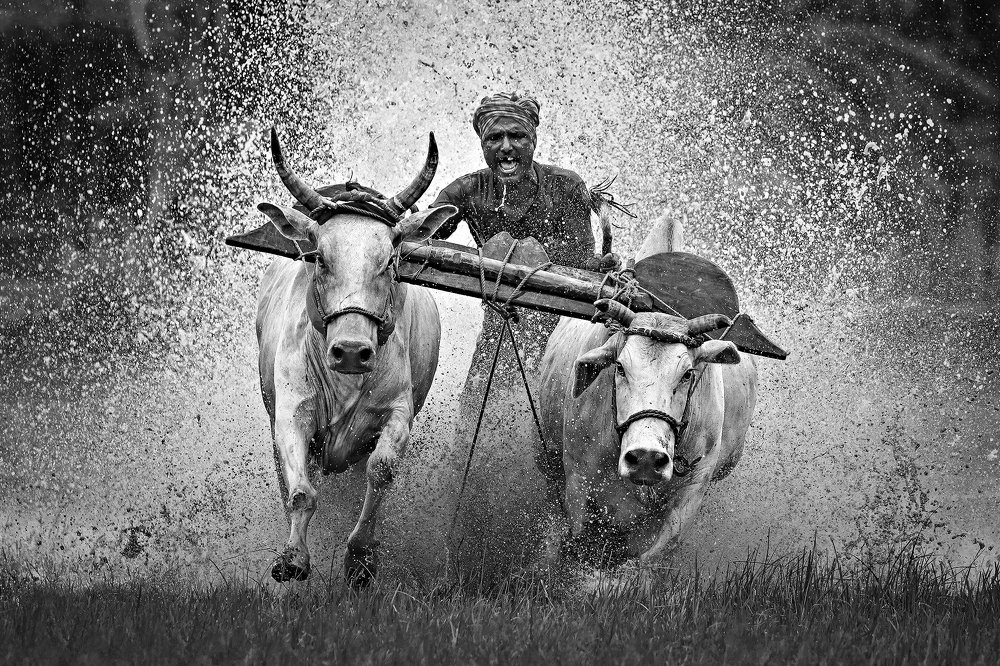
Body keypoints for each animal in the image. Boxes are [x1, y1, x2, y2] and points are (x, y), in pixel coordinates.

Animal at [255, 128, 457, 585]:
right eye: (319, 257)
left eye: (389, 260)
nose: (350, 352)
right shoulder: (290, 412)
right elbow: (301, 493)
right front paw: (293, 558)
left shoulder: (398, 412)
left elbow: (380, 471)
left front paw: (361, 557)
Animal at [537, 215, 758, 570]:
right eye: (620, 367)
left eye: (688, 374)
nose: (645, 458)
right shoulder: (577, 480)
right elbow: (576, 540)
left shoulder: (691, 492)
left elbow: (650, 560)